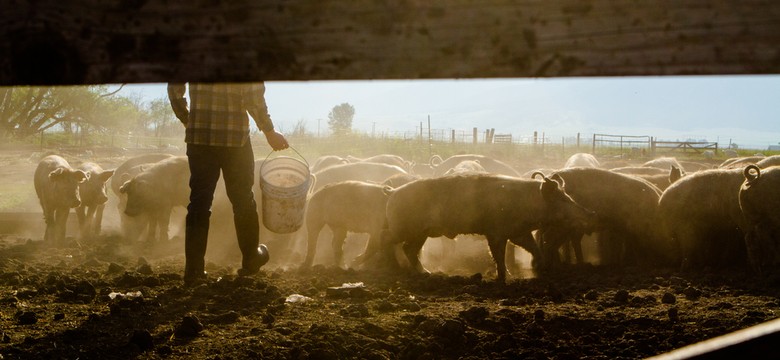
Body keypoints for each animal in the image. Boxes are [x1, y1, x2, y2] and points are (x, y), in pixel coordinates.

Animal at [382, 173, 592, 282]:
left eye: (567, 195)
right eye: (561, 199)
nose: (588, 213)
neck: (527, 203)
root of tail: (392, 192)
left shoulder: (518, 232)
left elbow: (533, 247)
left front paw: (542, 268)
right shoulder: (495, 232)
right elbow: (498, 255)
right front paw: (504, 278)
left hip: (421, 233)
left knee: (409, 249)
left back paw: (427, 273)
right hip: (403, 229)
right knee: (389, 241)